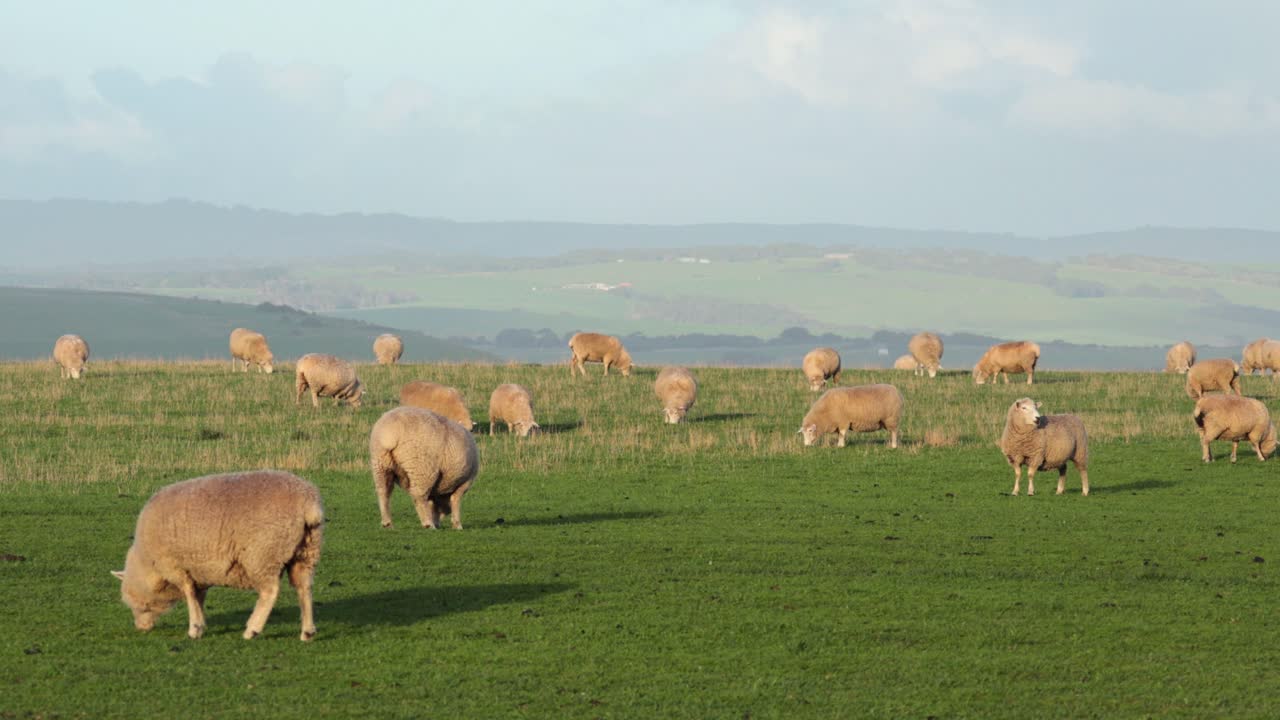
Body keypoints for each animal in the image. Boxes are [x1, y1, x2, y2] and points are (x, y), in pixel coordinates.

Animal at [111, 470, 324, 641]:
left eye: (133, 600)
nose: (141, 627)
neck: (148, 564)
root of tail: (308, 504)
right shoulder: (198, 572)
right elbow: (198, 597)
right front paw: (200, 624)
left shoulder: (175, 567)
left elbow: (189, 593)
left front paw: (194, 628)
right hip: (306, 552)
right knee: (304, 588)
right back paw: (307, 632)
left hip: (263, 554)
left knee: (269, 592)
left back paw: (252, 630)